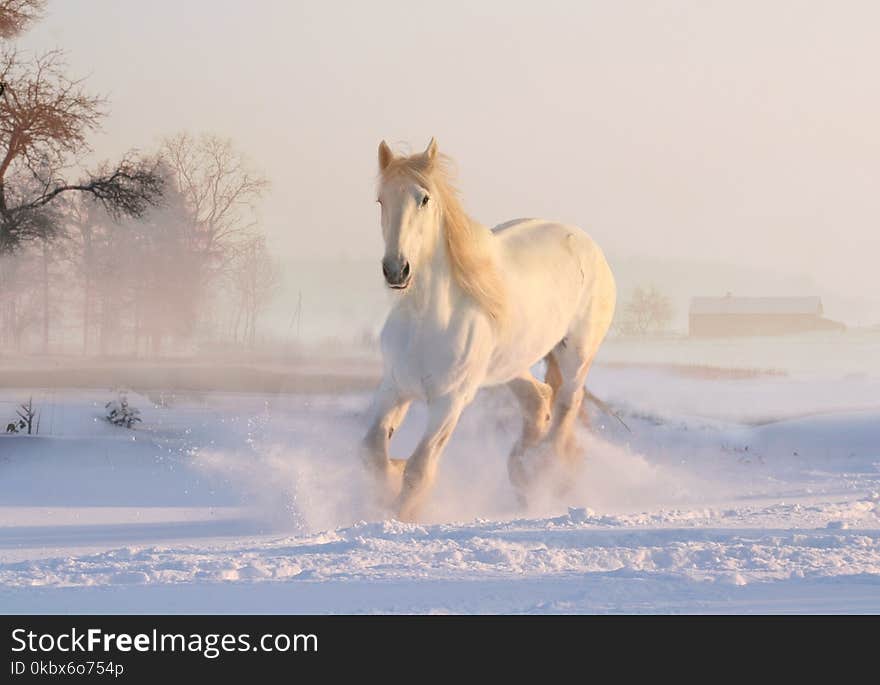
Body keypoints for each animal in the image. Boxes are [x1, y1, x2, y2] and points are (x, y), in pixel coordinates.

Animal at [360, 138, 616, 520]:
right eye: (381, 200)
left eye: (424, 198)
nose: (396, 269)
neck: (427, 320)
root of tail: (587, 243)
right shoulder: (394, 387)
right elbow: (373, 452)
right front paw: (389, 483)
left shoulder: (450, 401)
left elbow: (419, 469)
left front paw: (401, 515)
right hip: (509, 365)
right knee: (539, 399)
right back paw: (522, 470)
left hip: (576, 355)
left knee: (566, 406)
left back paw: (545, 472)